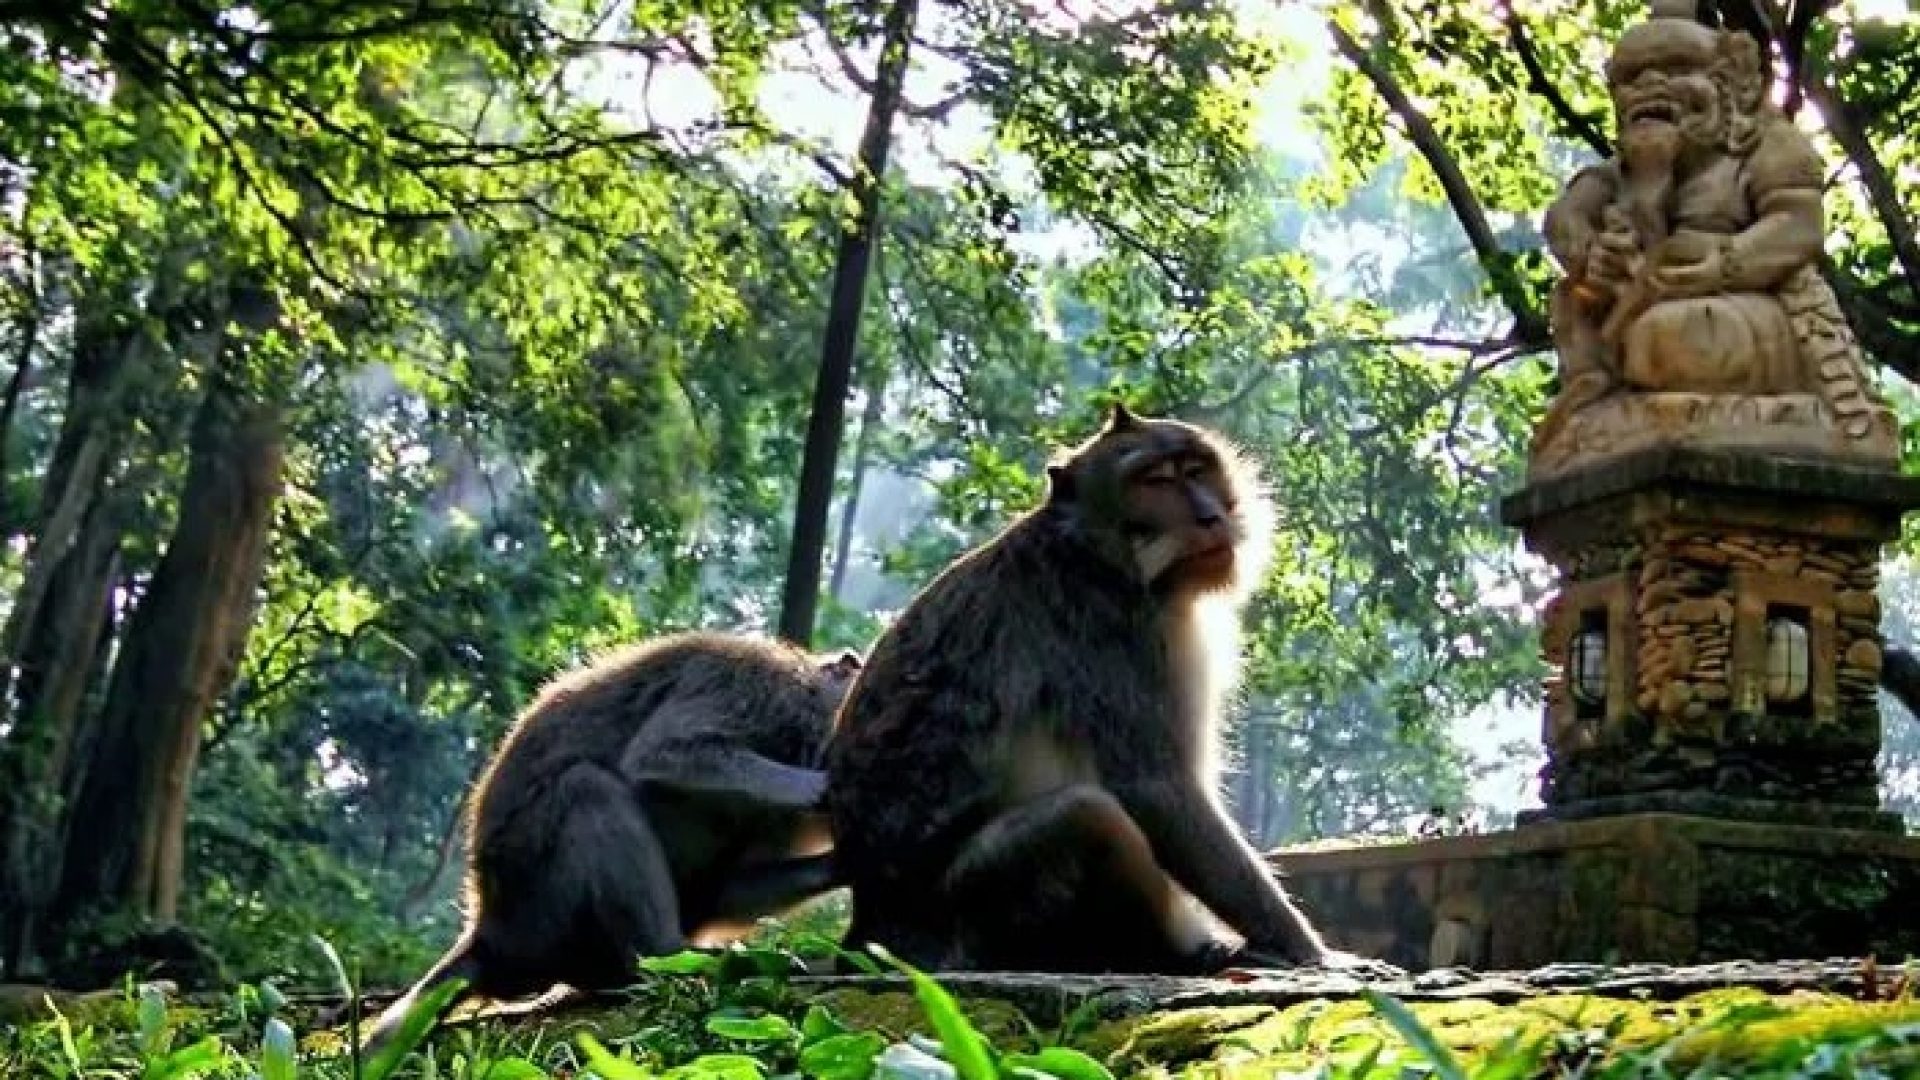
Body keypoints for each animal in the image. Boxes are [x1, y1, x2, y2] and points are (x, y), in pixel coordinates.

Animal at [359, 630, 864, 1045]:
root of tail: (489, 934)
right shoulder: (752, 683)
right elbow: (664, 754)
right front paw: (817, 786)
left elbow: (723, 888)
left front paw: (843, 863)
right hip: (539, 902)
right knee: (588, 789)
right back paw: (672, 957)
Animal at [821, 403, 1367, 976]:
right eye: (1154, 482)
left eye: (1196, 470)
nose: (1209, 517)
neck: (1101, 553)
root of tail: (866, 932)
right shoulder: (1111, 629)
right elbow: (1156, 789)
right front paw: (1310, 951)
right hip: (971, 915)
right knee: (1086, 816)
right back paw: (1177, 954)